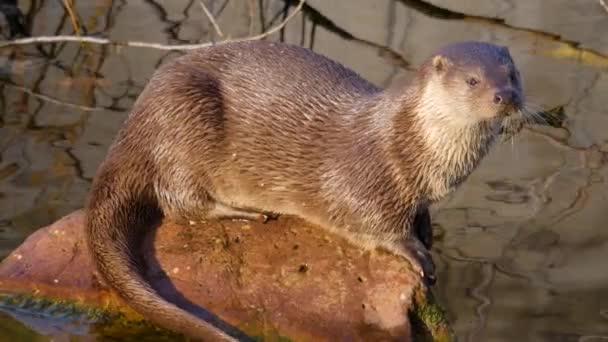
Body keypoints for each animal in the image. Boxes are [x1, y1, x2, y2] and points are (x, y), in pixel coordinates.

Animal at [85, 40, 528, 340]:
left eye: (512, 74)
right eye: (472, 80)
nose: (505, 96)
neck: (418, 150)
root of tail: (134, 127)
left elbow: (416, 211)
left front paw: (425, 228)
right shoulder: (362, 179)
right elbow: (373, 223)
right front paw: (415, 251)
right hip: (183, 125)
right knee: (180, 200)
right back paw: (244, 212)